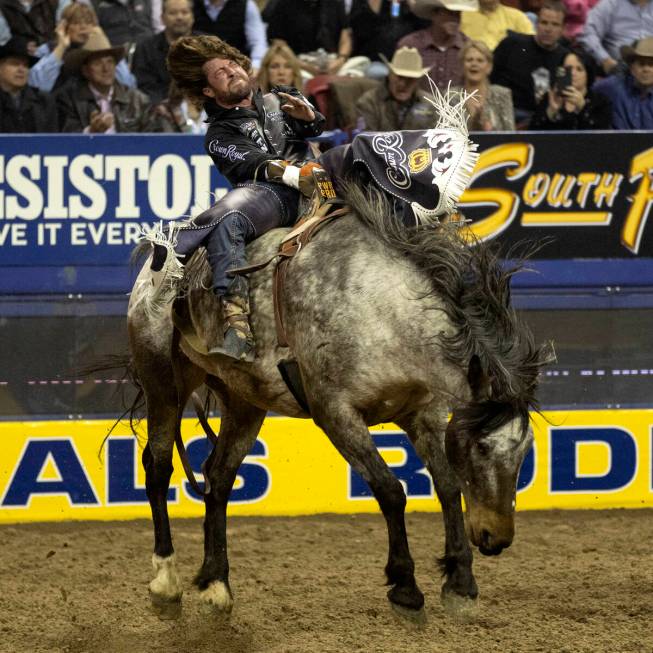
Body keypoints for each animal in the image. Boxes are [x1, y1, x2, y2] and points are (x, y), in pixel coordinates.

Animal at [127, 181, 544, 620]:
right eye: (481, 447)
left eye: (524, 449)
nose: (497, 537)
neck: (382, 309)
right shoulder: (335, 413)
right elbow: (390, 490)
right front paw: (405, 585)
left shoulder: (422, 411)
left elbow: (447, 486)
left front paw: (461, 581)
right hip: (162, 381)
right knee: (158, 468)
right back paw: (166, 581)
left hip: (245, 401)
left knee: (219, 477)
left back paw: (216, 583)